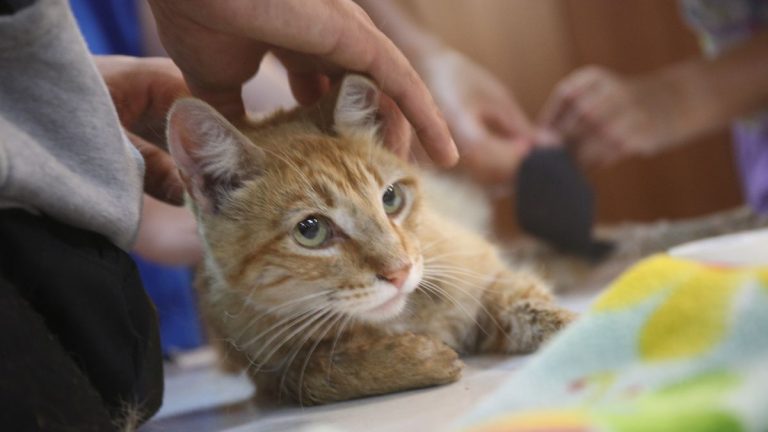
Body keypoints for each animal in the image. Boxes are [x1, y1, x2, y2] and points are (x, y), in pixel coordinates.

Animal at [168, 73, 576, 404]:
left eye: (391, 198)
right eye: (311, 230)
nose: (400, 272)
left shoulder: (484, 273)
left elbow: (534, 304)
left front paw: (582, 331)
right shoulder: (268, 367)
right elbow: (319, 375)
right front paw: (419, 359)